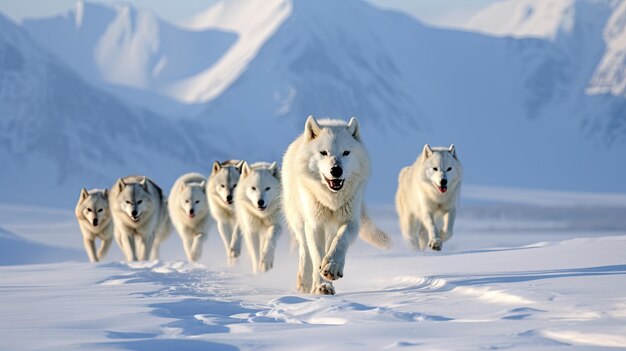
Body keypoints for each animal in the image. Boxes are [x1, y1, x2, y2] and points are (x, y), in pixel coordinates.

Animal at [282, 117, 390, 296]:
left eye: (346, 152)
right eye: (323, 153)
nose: (336, 170)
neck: (331, 200)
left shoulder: (350, 222)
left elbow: (340, 241)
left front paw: (332, 267)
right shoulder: (315, 224)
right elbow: (317, 255)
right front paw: (321, 285)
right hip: (299, 221)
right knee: (305, 250)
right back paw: (304, 283)